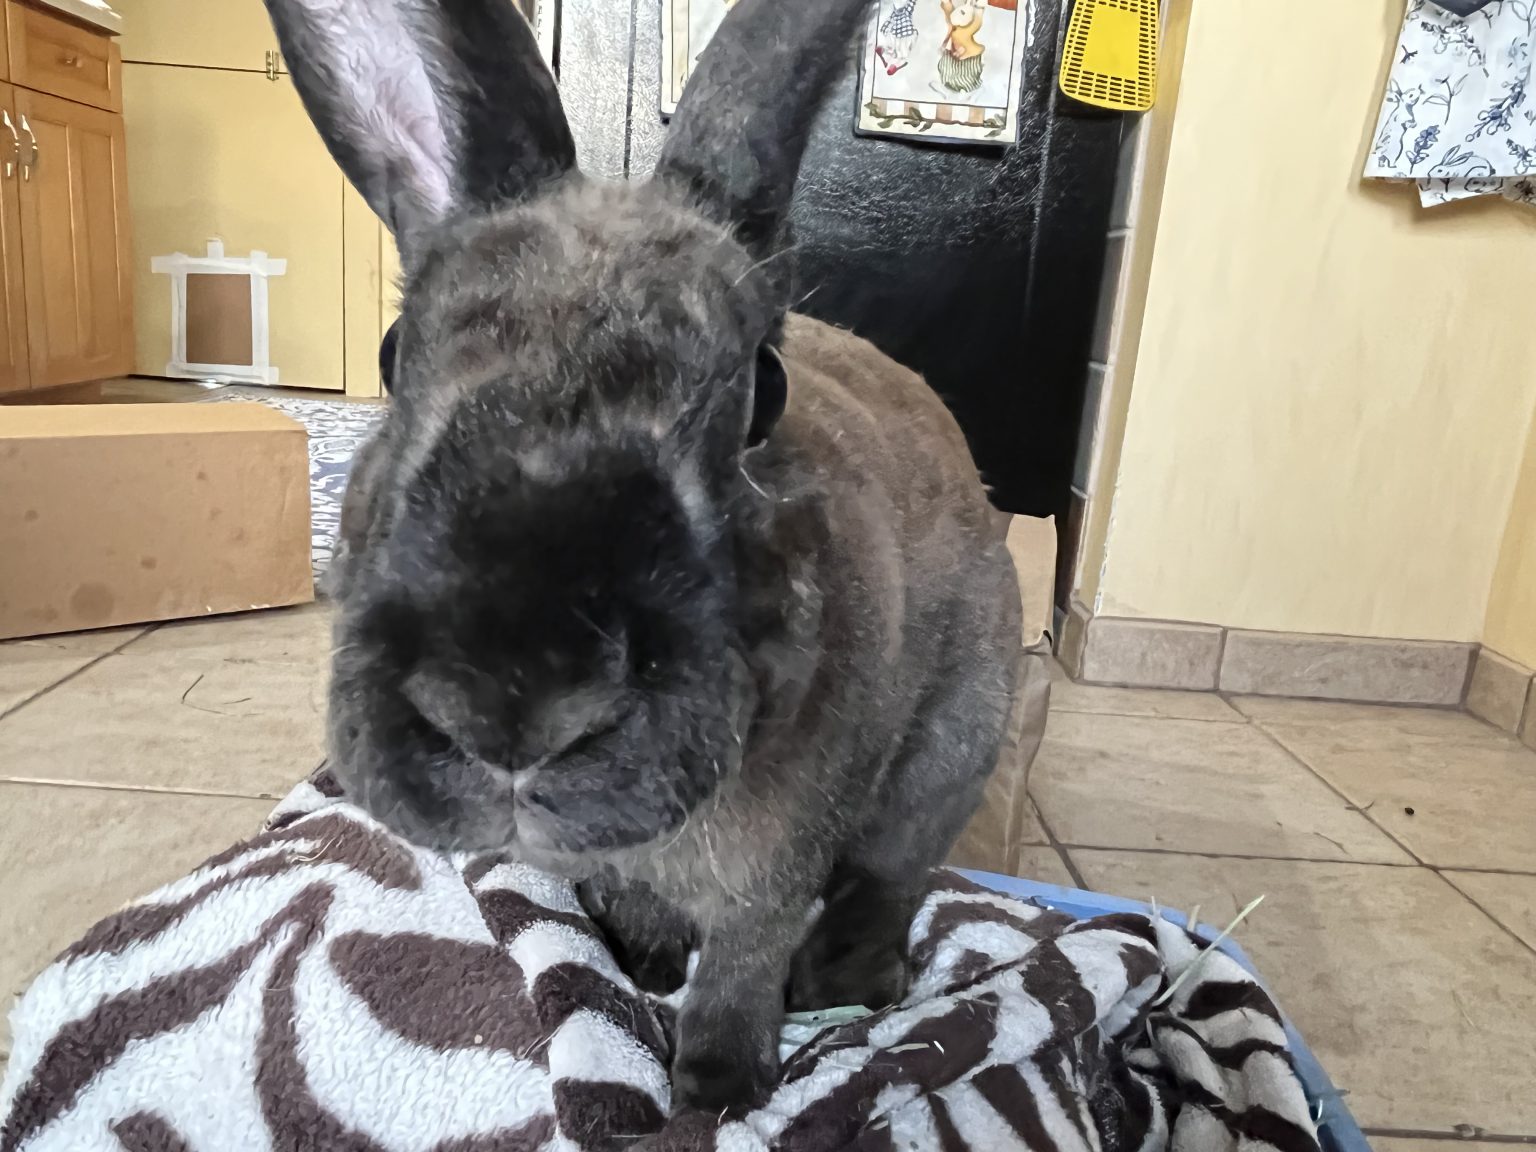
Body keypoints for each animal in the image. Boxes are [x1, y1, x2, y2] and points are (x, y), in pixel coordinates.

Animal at [264, 0, 1024, 1116]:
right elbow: (627, 896)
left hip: (951, 753)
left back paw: (845, 985)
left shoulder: (778, 866)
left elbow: (744, 960)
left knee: (889, 881)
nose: (515, 708)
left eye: (766, 390)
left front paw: (716, 1091)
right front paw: (640, 966)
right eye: (395, 358)